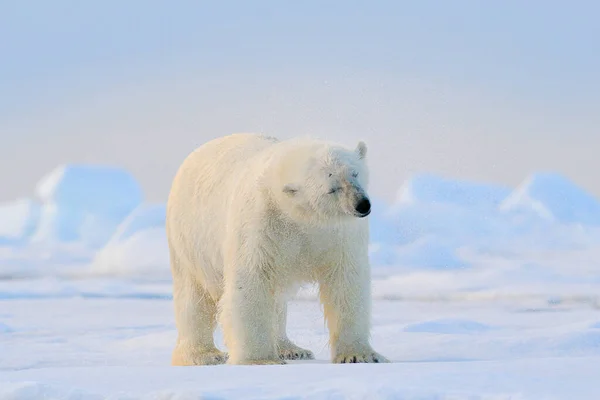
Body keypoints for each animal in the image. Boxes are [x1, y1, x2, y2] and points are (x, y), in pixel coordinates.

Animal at [165, 133, 390, 364]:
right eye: (332, 188)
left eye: (355, 173)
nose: (362, 205)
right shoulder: (260, 225)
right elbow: (251, 281)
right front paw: (260, 359)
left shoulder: (338, 234)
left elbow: (345, 282)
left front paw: (359, 355)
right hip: (188, 238)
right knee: (193, 296)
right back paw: (204, 355)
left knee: (277, 301)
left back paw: (291, 349)